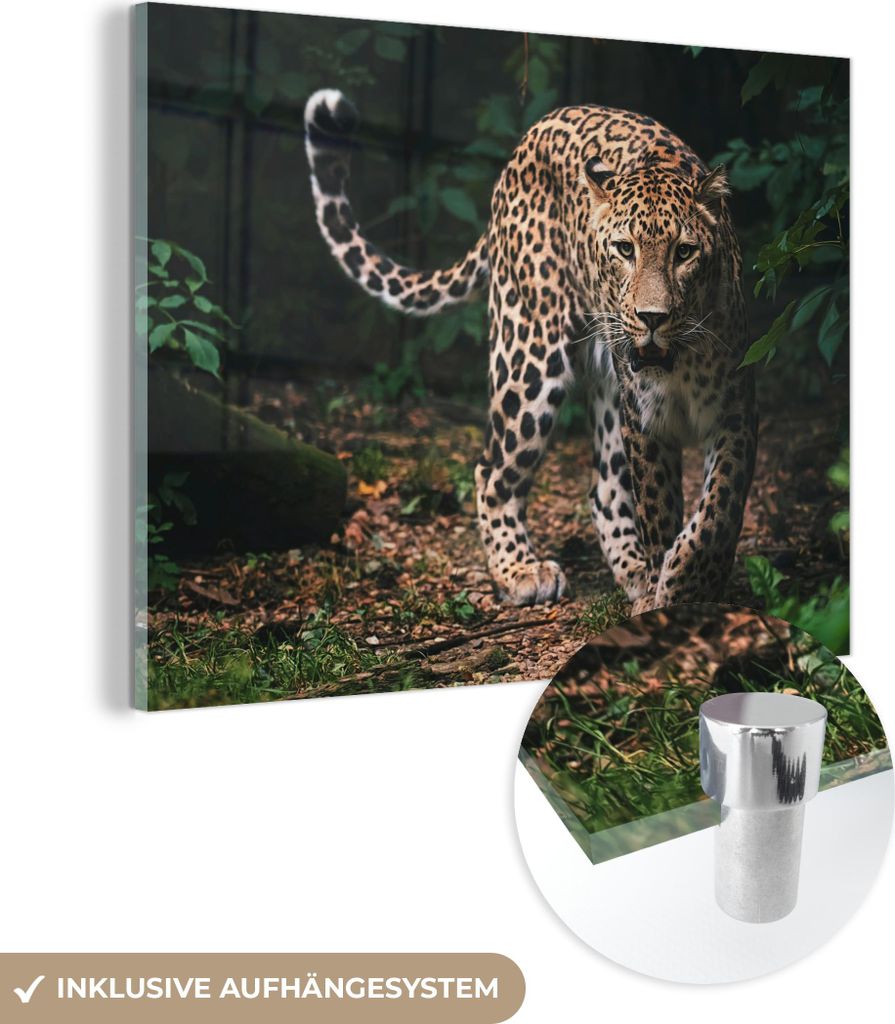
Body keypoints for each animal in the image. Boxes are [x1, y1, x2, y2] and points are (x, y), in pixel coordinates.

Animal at [304, 88, 757, 613]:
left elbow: (719, 511)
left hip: (605, 384)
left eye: (684, 252)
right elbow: (661, 512)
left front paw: (688, 582)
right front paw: (667, 594)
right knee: (492, 471)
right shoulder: (644, 422)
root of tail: (531, 136)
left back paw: (632, 574)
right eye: (624, 249)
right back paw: (521, 571)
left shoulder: (735, 411)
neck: (679, 361)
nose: (651, 318)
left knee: (604, 488)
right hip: (530, 354)